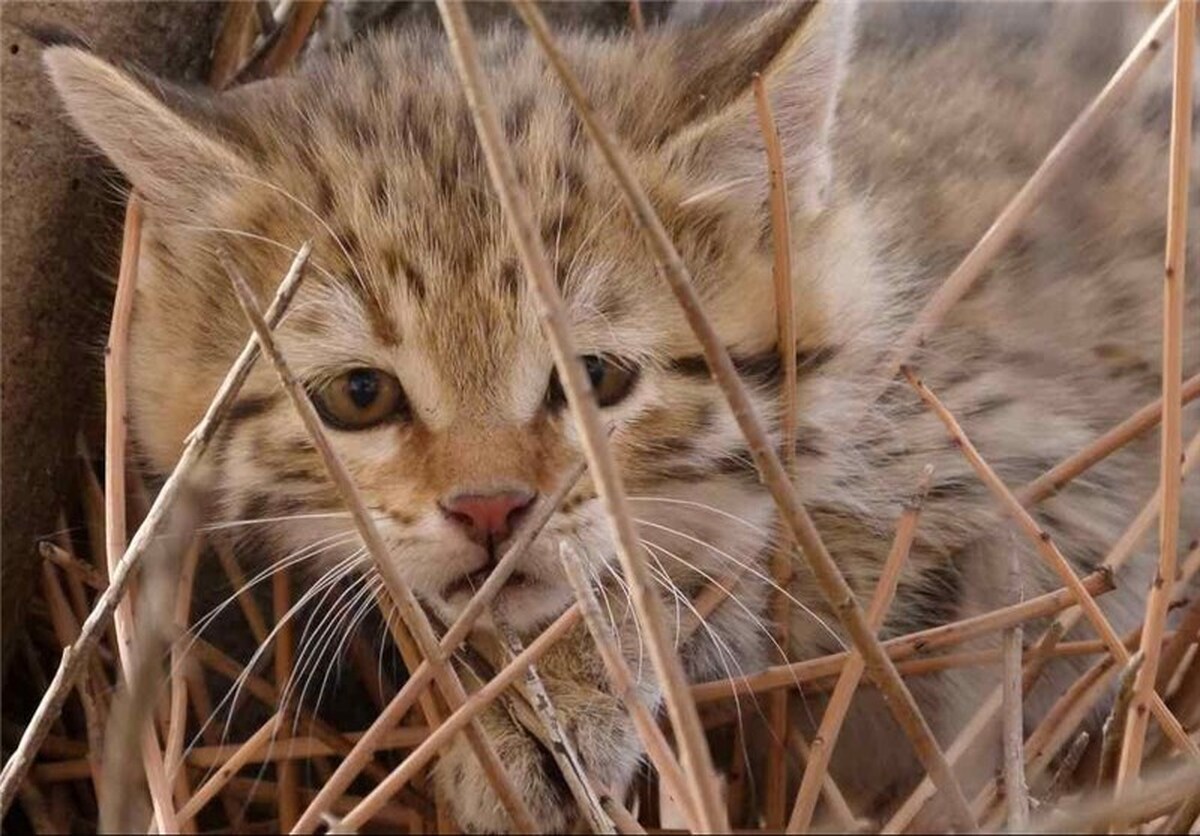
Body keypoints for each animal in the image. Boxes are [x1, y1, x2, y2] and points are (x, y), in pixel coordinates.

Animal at [42, 0, 1195, 830]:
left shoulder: (1042, 476)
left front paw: (568, 682)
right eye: (359, 396)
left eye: (596, 378)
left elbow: (722, 555)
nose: (491, 510)